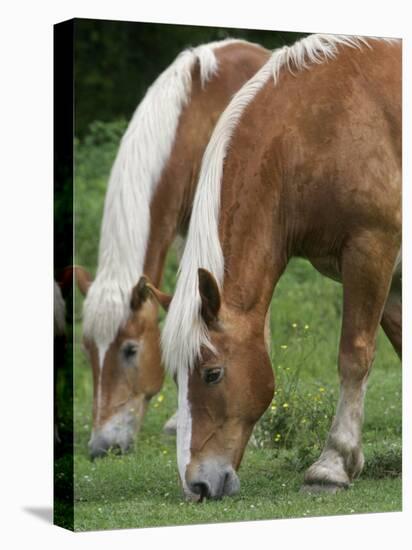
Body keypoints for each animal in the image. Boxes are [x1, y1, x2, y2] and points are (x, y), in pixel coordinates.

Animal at [143, 33, 400, 500]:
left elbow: (354, 355)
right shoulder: (390, 273)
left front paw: (333, 465)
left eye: (212, 374)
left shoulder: (371, 251)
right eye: (174, 377)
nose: (197, 485)